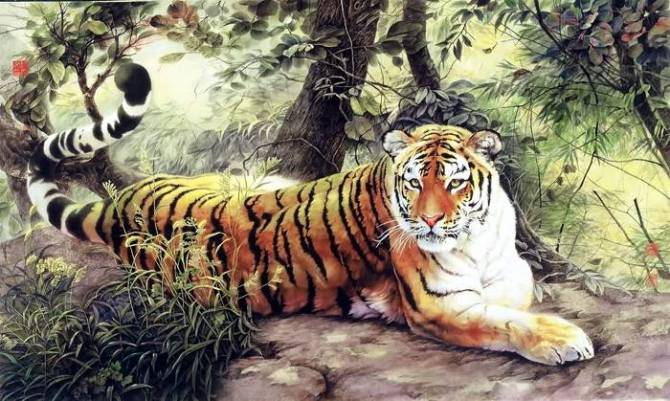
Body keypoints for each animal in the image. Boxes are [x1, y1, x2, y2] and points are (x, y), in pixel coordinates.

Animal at [27, 63, 594, 366]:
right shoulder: (440, 306)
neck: (477, 237)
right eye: (414, 183)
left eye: (455, 182)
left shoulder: (505, 269)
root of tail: (122, 204)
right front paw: (564, 338)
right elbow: (504, 320)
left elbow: (518, 291)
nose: (431, 222)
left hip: (257, 179)